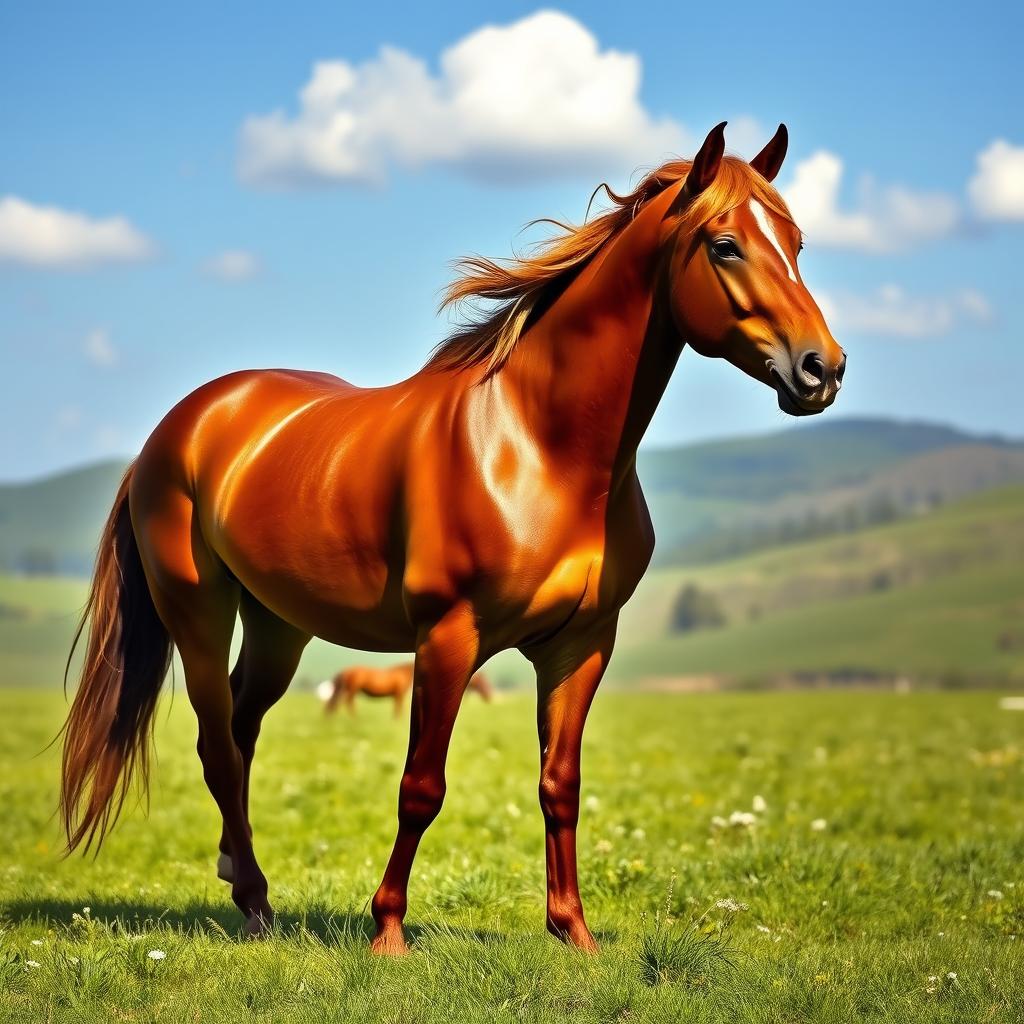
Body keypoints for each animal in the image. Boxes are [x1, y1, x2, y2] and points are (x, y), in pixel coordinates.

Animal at [319, 663, 493, 716]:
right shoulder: (399, 694)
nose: (489, 698)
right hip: (352, 690)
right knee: (346, 703)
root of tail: (345, 670)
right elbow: (398, 710)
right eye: (484, 684)